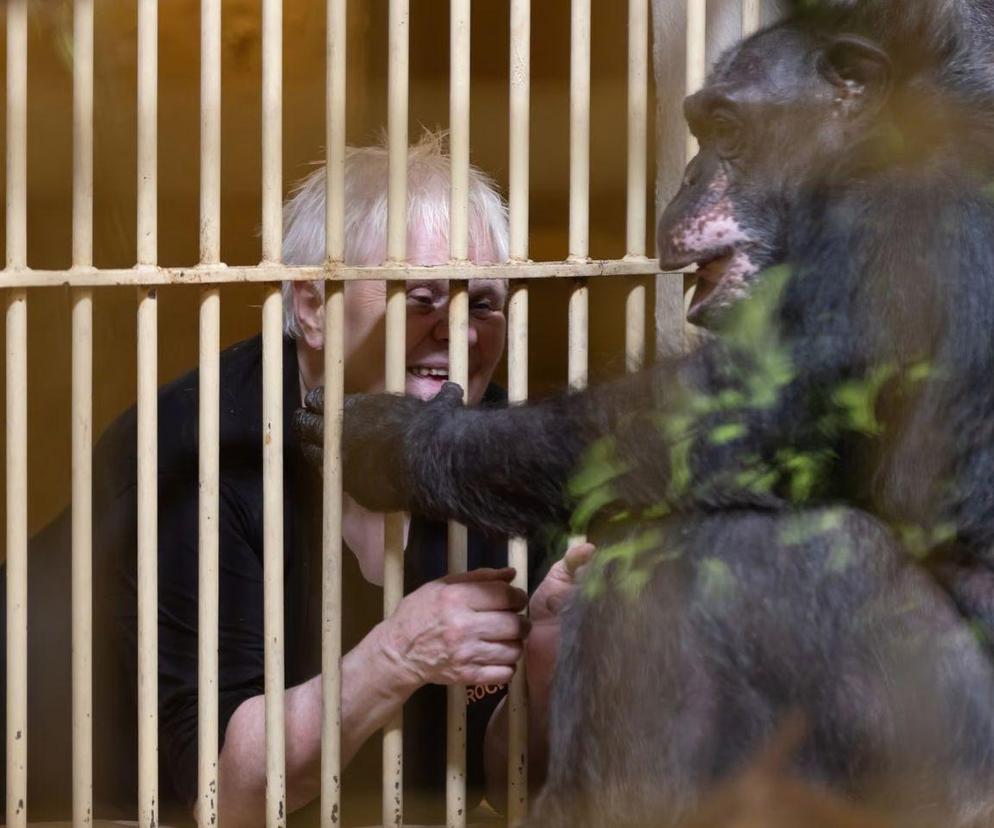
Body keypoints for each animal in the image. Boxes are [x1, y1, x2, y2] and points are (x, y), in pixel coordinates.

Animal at [294, 1, 994, 828]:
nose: (689, 174)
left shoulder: (897, 230)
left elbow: (733, 414)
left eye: (726, 127)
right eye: (703, 126)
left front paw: (397, 440)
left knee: (744, 551)